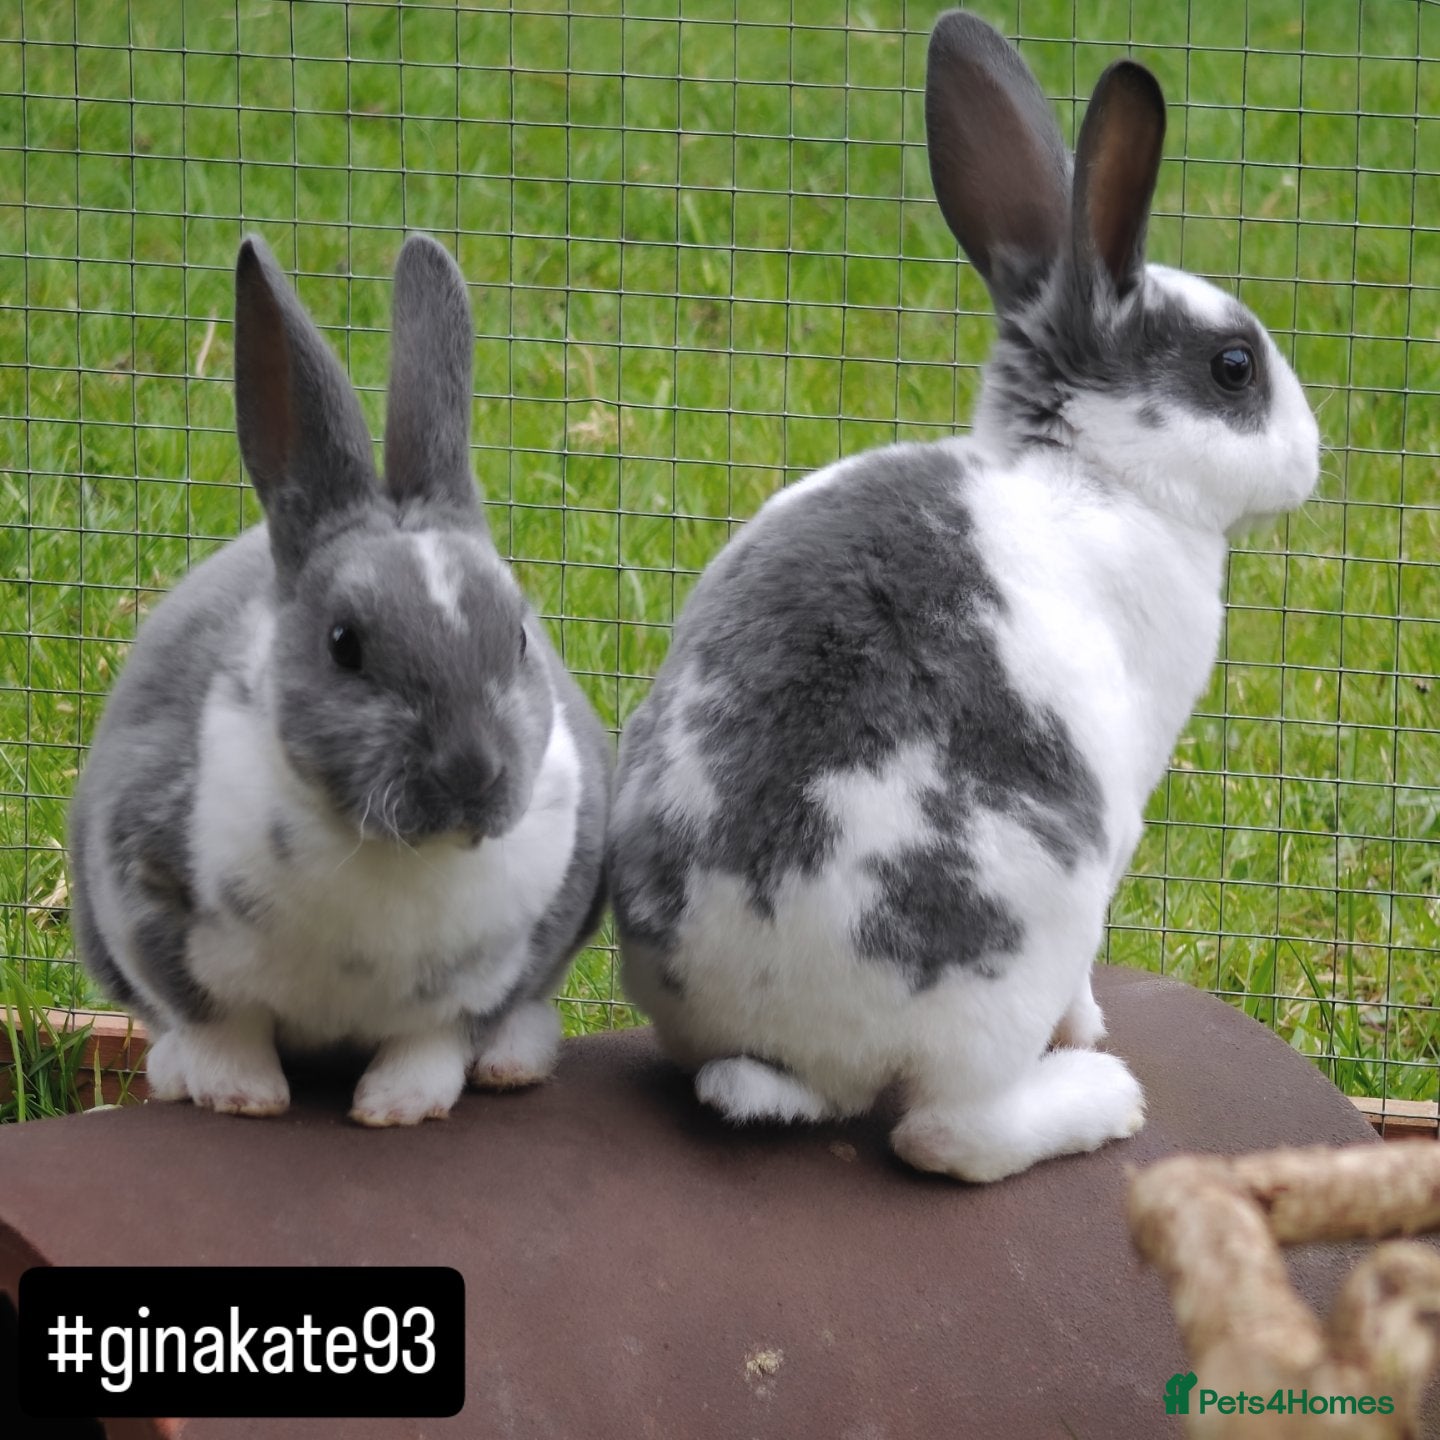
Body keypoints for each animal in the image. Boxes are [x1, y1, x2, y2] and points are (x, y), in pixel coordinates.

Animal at [68, 233, 611, 1126]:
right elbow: (217, 1022)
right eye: (344, 645)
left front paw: (399, 1108)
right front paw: (239, 1097)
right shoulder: (144, 897)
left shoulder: (492, 972)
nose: (473, 771)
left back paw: (511, 1066)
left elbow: (431, 1044)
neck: (394, 853)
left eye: (520, 637)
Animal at [607, 10, 1320, 1183]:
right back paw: (1098, 1098)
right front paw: (1093, 1030)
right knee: (947, 1133)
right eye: (1233, 368)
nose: (1310, 462)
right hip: (1021, 941)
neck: (1089, 473)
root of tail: (784, 1051)